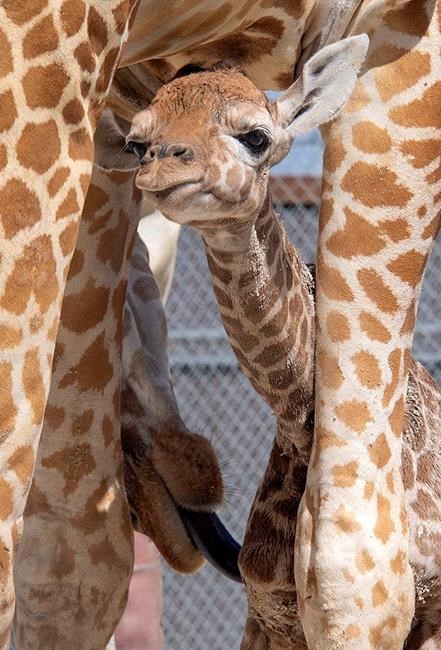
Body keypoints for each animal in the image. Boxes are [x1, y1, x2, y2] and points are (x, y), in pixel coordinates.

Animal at [126, 51, 440, 648]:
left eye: (256, 136)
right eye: (137, 143)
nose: (163, 166)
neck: (299, 425)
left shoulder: (426, 606)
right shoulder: (268, 608)